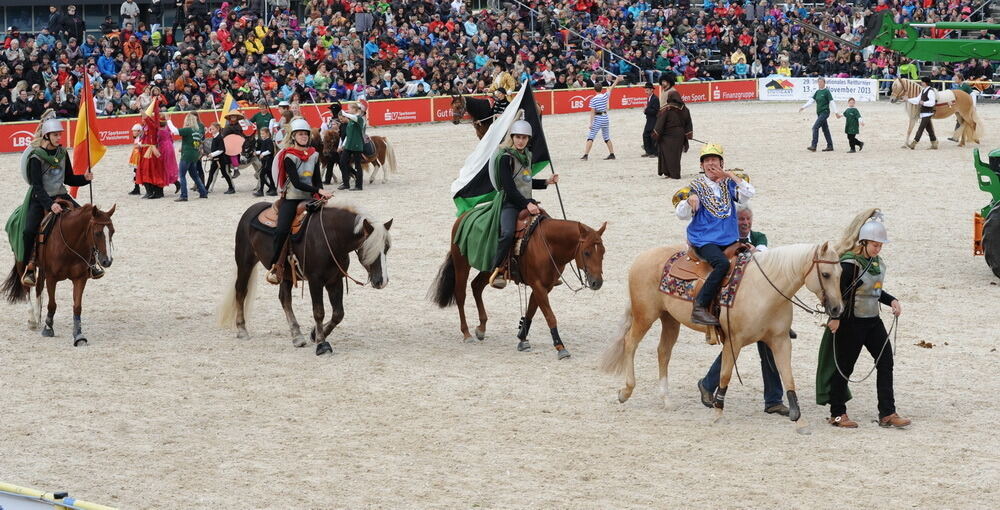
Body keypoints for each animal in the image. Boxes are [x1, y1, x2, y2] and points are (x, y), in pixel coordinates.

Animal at [2, 202, 116, 346]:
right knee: (27, 288)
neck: (70, 244)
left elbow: (77, 307)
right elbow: (52, 304)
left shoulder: (80, 278)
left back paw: (38, 317)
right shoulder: (52, 278)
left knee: (38, 288)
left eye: (112, 231)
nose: (107, 261)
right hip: (20, 261)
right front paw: (48, 328)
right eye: (97, 233)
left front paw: (78, 335)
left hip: (42, 269)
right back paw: (32, 320)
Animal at [221, 201, 392, 356]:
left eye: (387, 248)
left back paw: (297, 336)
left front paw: (315, 334)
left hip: (286, 274)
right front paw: (322, 344)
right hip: (245, 262)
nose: (381, 282)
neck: (331, 238)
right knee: (241, 291)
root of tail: (252, 209)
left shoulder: (335, 280)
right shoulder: (315, 281)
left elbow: (338, 313)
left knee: (285, 299)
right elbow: (319, 312)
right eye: (370, 248)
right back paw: (242, 329)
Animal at [430, 214, 608, 358]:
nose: (597, 282)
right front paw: (560, 347)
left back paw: (481, 328)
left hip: (488, 268)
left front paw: (522, 337)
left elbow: (531, 311)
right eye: (586, 252)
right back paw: (467, 334)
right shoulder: (538, 286)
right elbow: (550, 316)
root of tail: (463, 217)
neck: (548, 245)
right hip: (461, 265)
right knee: (461, 295)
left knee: (476, 286)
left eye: (603, 252)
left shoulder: (544, 287)